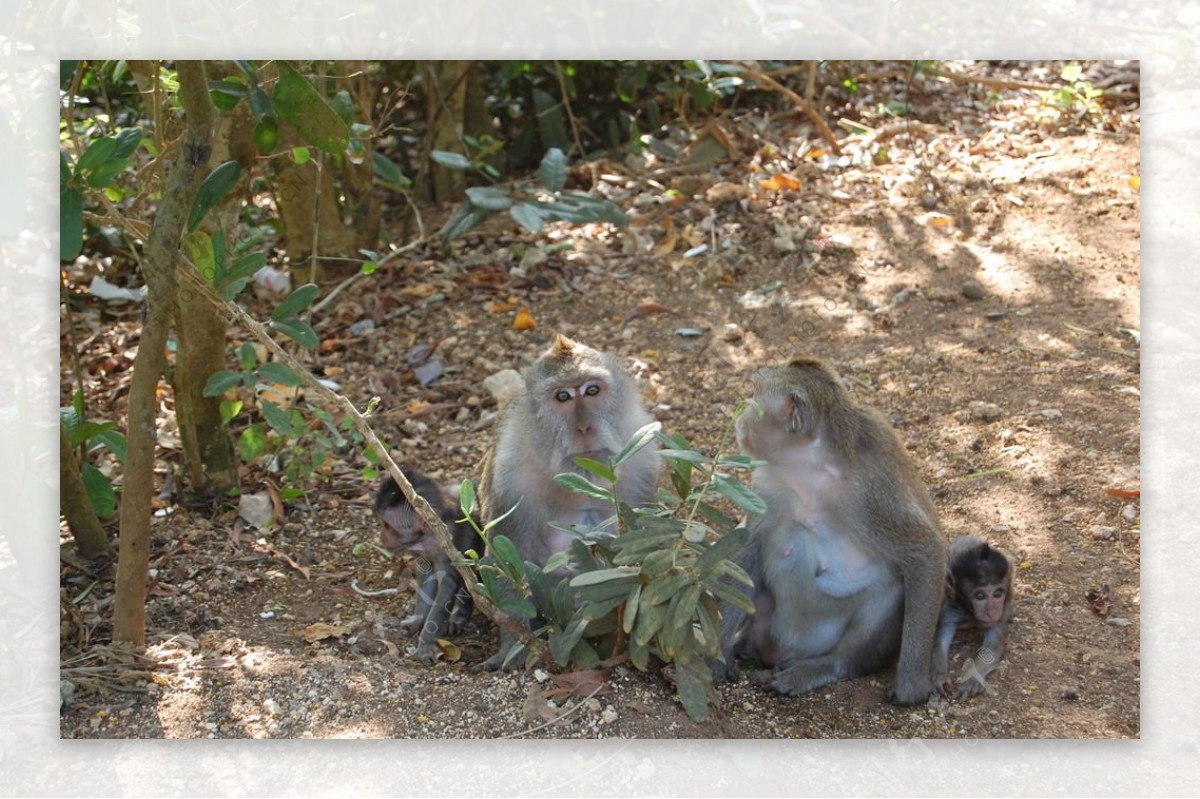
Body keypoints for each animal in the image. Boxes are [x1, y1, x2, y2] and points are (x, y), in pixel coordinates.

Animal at [372, 470, 480, 662]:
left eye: (387, 526)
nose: (381, 538)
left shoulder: (450, 541)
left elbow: (447, 587)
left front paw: (425, 645)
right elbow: (428, 579)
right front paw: (417, 621)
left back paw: (460, 615)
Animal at [926, 535, 1012, 695]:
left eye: (998, 593)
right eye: (980, 596)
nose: (991, 613)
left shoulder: (1003, 608)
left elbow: (993, 646)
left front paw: (972, 678)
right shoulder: (950, 607)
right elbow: (939, 642)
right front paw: (939, 676)